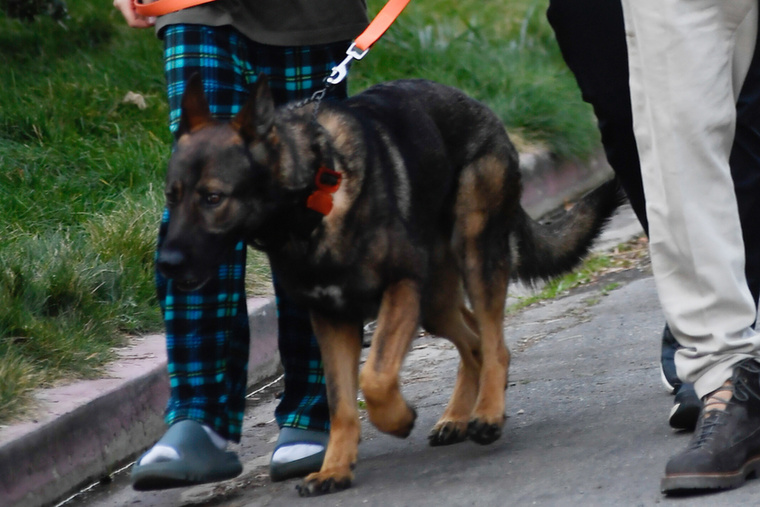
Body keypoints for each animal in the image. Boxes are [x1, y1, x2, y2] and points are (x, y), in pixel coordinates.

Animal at [157, 74, 620, 496]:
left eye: (213, 198)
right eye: (171, 197)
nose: (165, 263)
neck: (312, 197)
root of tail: (479, 107)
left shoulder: (400, 289)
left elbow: (375, 378)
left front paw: (398, 419)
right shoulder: (332, 320)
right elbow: (342, 404)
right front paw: (335, 469)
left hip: (473, 257)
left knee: (495, 345)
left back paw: (487, 412)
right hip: (434, 302)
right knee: (473, 342)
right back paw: (459, 416)